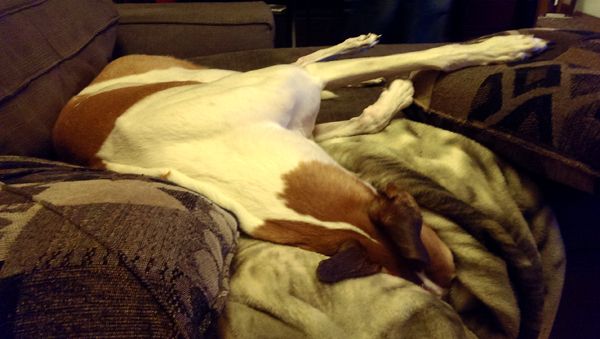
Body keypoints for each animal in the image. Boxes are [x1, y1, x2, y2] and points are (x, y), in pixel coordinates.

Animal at [52, 33, 548, 294]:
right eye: (448, 273)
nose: (449, 295)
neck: (226, 144)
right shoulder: (303, 120)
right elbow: (412, 68)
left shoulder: (300, 117)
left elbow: (414, 62)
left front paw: (503, 46)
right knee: (314, 63)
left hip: (216, 73)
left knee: (310, 57)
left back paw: (359, 49)